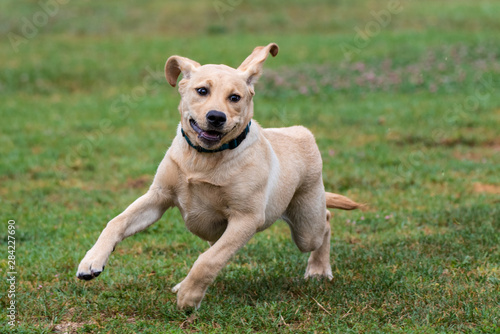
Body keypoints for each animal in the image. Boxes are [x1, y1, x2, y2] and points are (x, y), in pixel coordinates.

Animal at [76, 43, 360, 310]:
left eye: (235, 97)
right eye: (202, 91)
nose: (216, 117)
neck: (204, 158)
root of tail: (299, 131)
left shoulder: (245, 219)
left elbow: (208, 261)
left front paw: (189, 298)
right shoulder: (158, 197)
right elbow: (116, 222)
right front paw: (91, 261)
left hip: (306, 225)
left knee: (325, 220)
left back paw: (318, 270)